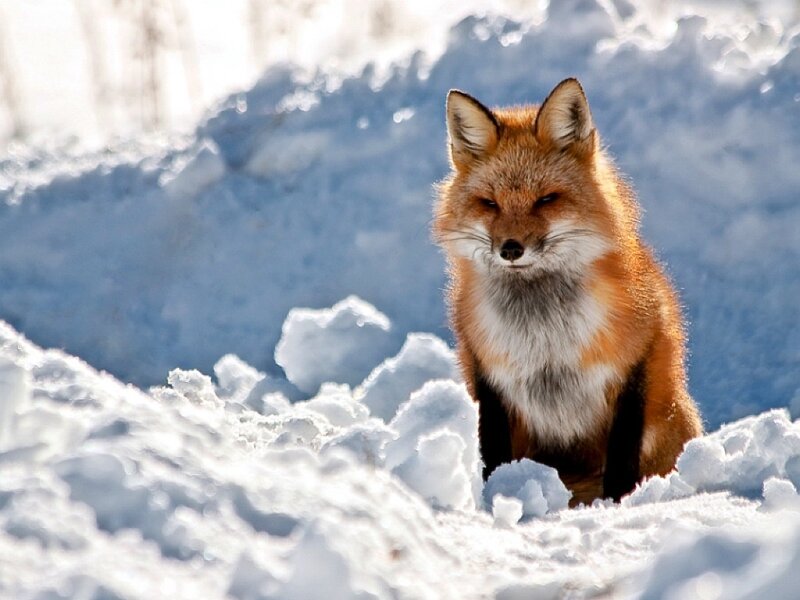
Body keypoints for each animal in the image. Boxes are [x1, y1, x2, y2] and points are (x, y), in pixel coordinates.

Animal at [433, 78, 703, 505]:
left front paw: (617, 505)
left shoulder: (634, 364)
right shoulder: (487, 373)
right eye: (489, 203)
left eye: (546, 199)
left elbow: (622, 461)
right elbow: (493, 454)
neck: (545, 336)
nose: (510, 249)